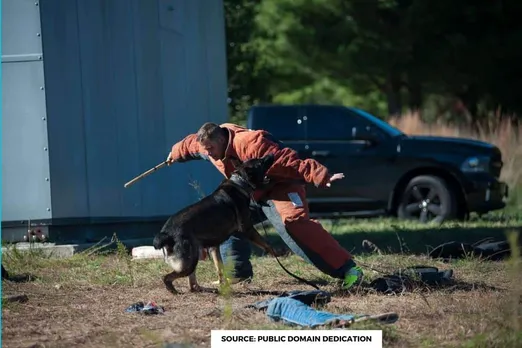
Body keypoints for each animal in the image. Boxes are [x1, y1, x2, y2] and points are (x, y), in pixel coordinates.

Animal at [152, 155, 276, 294]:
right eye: (260, 162)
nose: (271, 154)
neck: (240, 182)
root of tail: (165, 233)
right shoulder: (247, 228)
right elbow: (266, 243)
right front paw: (276, 253)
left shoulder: (214, 247)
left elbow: (219, 268)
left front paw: (224, 286)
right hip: (189, 263)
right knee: (167, 277)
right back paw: (174, 291)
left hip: (194, 257)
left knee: (192, 284)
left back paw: (204, 288)